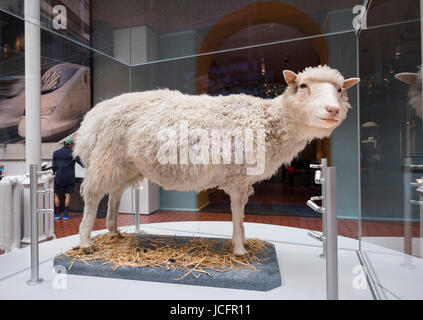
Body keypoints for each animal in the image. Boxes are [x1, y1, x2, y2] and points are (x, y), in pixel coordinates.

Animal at [74, 64, 360, 255]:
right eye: (303, 86)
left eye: (339, 90)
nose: (332, 110)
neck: (267, 120)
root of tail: (91, 117)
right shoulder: (238, 176)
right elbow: (235, 211)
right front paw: (239, 249)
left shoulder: (244, 180)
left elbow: (241, 212)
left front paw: (243, 241)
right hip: (106, 156)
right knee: (93, 195)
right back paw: (86, 241)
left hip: (127, 165)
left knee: (115, 193)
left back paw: (113, 231)